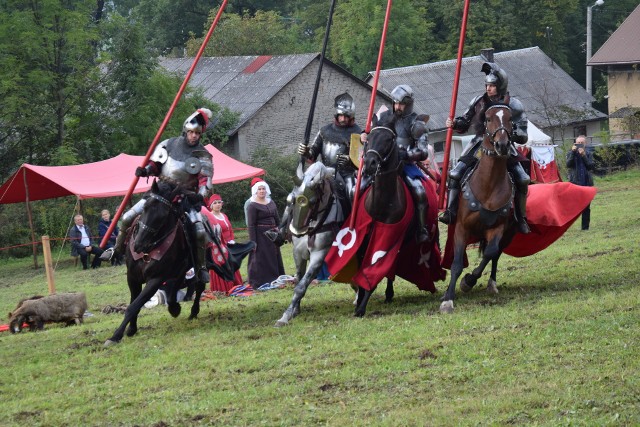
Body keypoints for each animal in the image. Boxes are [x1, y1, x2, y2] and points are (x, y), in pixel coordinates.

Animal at [104, 181, 206, 348]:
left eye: (163, 216)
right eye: (145, 208)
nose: (138, 245)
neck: (150, 247)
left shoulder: (155, 279)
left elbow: (134, 305)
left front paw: (115, 336)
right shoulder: (132, 278)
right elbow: (134, 303)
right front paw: (131, 329)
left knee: (198, 285)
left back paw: (192, 311)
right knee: (177, 285)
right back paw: (174, 307)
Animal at [440, 100, 520, 314]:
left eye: (510, 118)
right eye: (489, 118)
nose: (502, 145)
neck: (488, 186)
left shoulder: (498, 229)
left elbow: (490, 253)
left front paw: (469, 280)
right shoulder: (461, 228)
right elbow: (457, 263)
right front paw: (448, 299)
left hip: (509, 232)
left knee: (496, 255)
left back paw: (492, 284)